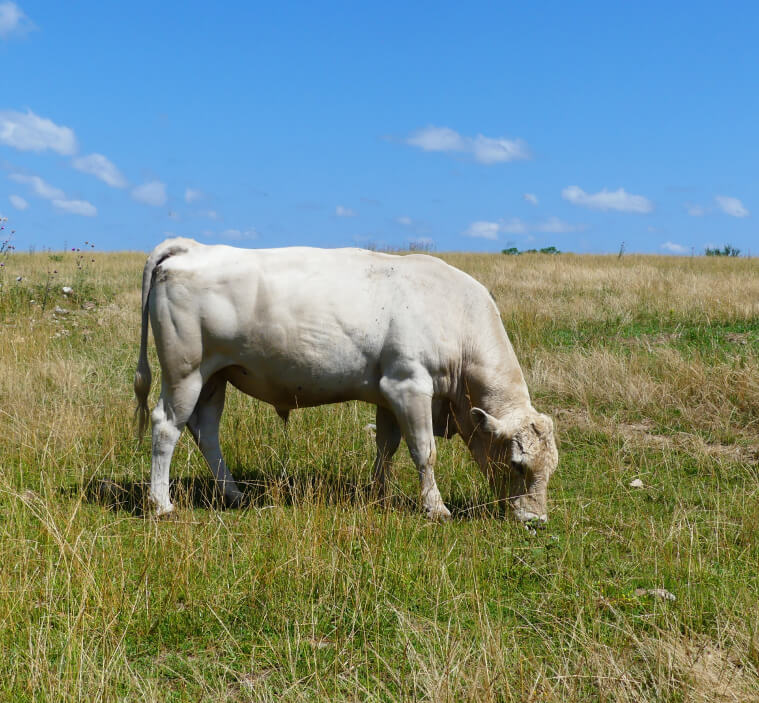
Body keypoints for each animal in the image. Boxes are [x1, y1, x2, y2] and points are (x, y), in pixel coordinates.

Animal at [134, 238, 558, 522]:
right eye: (518, 465)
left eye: (551, 469)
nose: (536, 520)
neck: (454, 314)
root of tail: (192, 247)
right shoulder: (409, 385)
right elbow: (424, 451)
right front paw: (436, 507)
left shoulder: (389, 394)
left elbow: (386, 447)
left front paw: (377, 495)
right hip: (185, 372)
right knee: (166, 426)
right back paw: (162, 504)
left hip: (214, 377)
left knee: (206, 430)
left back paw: (234, 494)